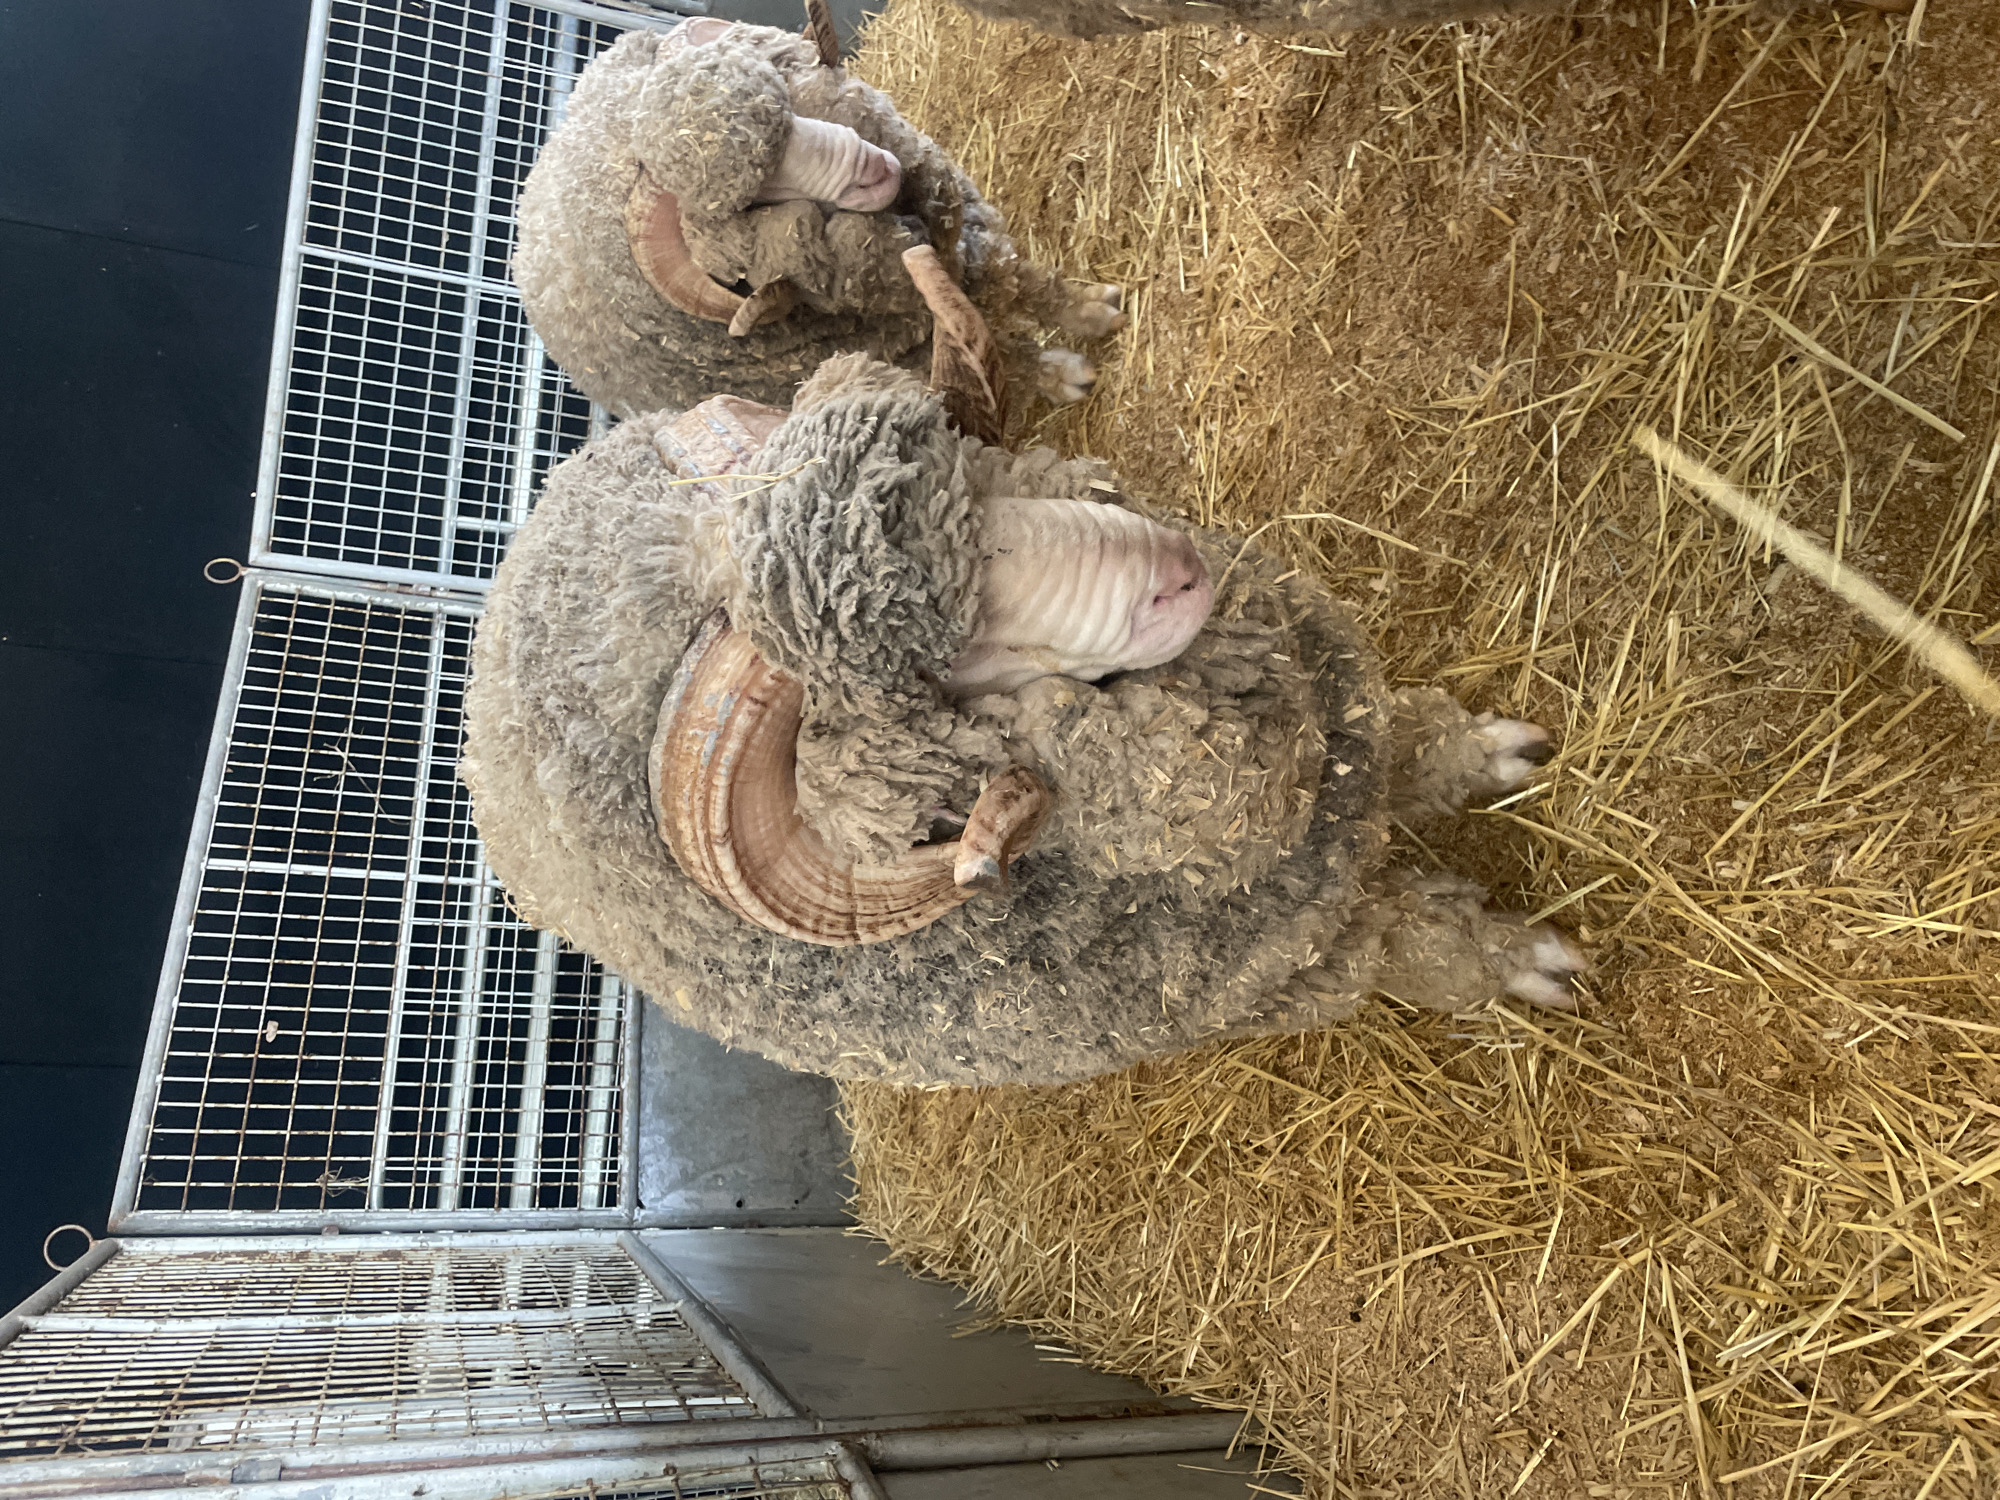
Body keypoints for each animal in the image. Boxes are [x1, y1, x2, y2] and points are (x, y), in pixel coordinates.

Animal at [459, 258, 1583, 1088]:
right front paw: (1528, 966)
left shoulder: (1344, 714)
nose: (1177, 571)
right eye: (961, 657)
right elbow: (1421, 945)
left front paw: (1488, 754)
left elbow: (1406, 731)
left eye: (982, 468)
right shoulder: (1297, 962)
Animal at [511, 13, 1124, 422]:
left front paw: (1093, 309)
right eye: (757, 196)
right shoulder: (905, 336)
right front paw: (1065, 376)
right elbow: (1001, 351)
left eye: (783, 90)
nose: (872, 166)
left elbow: (1019, 277)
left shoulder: (958, 214)